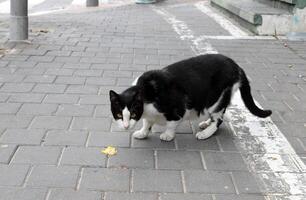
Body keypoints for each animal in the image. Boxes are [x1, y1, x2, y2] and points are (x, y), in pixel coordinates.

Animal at [109, 54, 272, 141]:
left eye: (133, 114)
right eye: (119, 115)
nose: (125, 126)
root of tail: (235, 66)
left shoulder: (178, 108)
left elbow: (171, 123)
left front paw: (167, 135)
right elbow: (147, 122)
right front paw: (143, 132)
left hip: (215, 99)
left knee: (219, 119)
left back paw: (206, 133)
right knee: (221, 113)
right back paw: (206, 123)